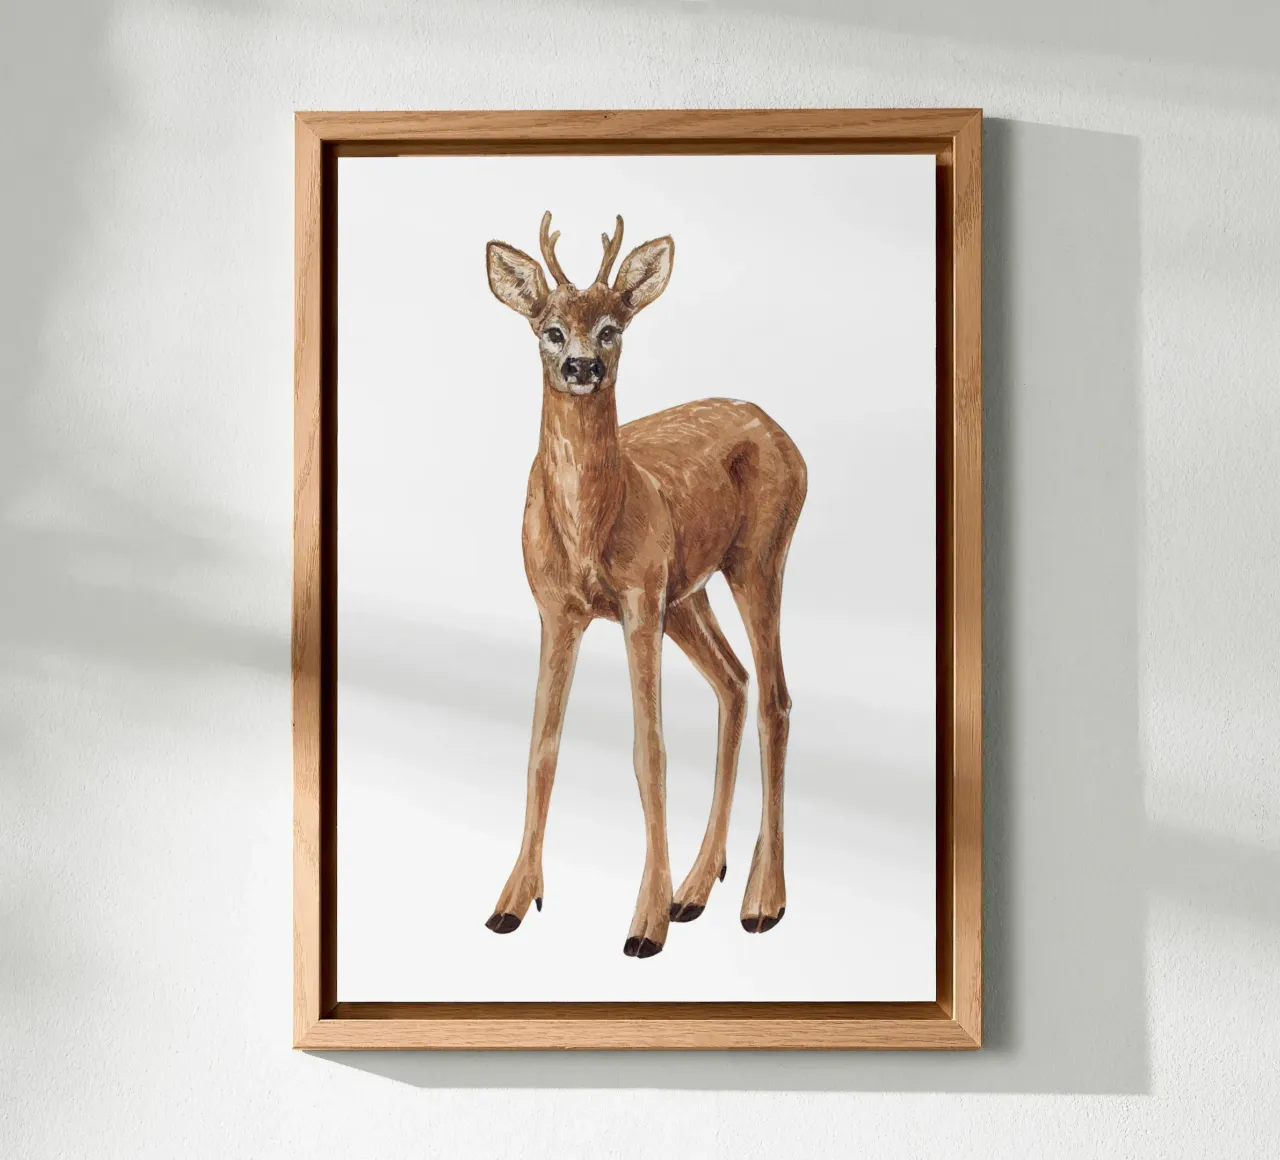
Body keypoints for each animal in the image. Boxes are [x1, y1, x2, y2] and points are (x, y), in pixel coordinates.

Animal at [483, 211, 807, 959]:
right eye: (549, 328)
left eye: (613, 326)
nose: (583, 366)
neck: (589, 529)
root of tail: (784, 434)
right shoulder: (557, 609)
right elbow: (542, 749)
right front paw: (513, 901)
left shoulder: (636, 600)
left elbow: (648, 751)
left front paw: (643, 925)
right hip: (688, 592)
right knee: (735, 681)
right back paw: (697, 888)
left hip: (757, 558)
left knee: (775, 697)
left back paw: (760, 902)